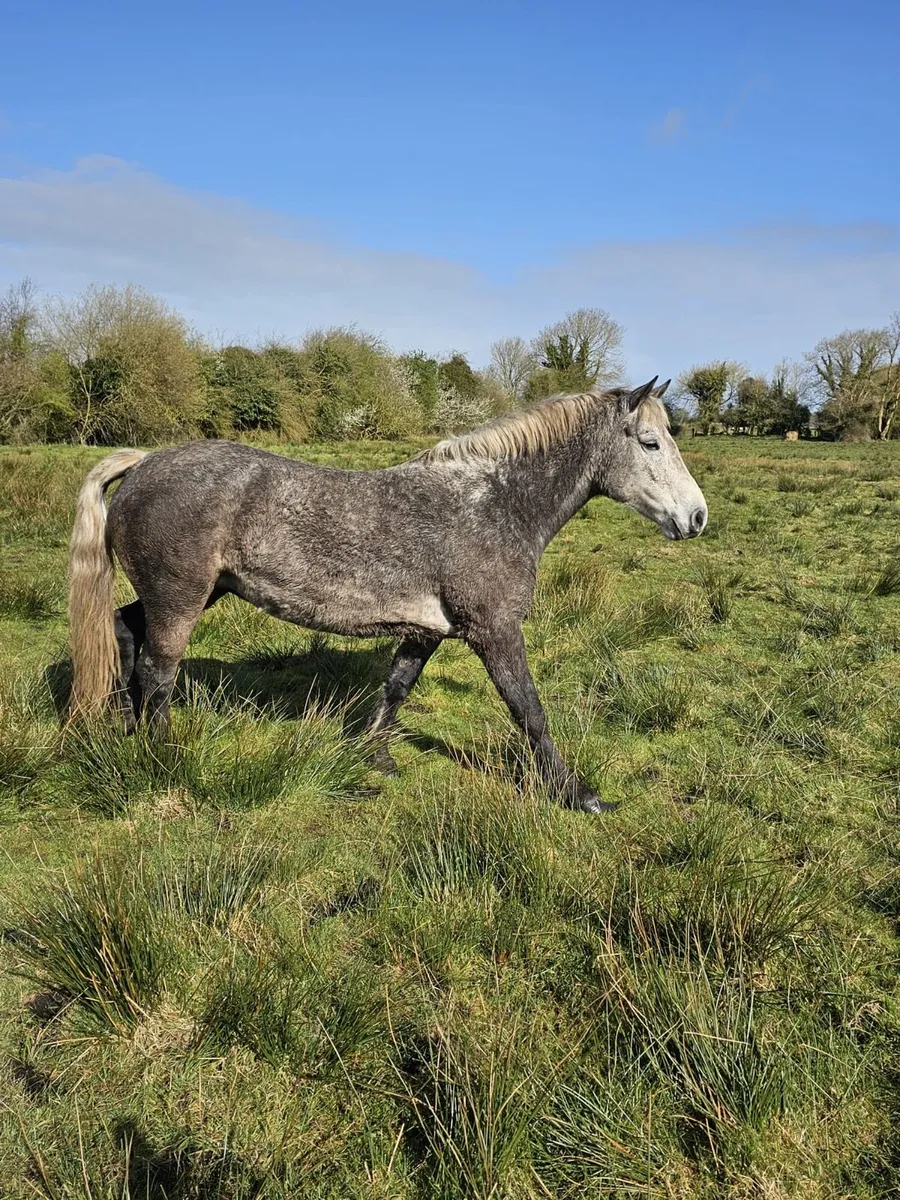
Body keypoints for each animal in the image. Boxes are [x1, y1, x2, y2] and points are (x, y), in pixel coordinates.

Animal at [67, 377, 707, 815]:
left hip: (194, 594)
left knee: (124, 632)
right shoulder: (495, 630)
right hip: (181, 596)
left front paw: (374, 759)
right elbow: (530, 711)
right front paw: (578, 794)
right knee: (159, 671)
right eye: (650, 443)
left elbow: (395, 691)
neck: (494, 504)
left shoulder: (425, 632)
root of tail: (144, 462)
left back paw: (120, 728)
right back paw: (164, 758)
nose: (696, 517)